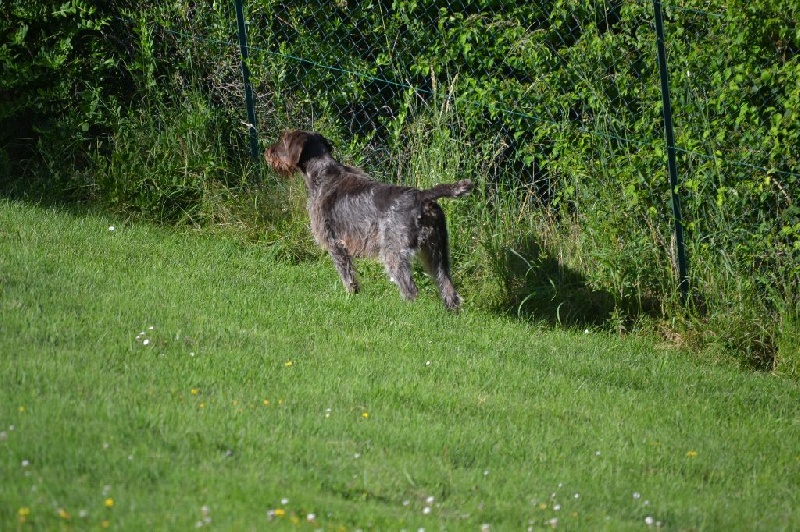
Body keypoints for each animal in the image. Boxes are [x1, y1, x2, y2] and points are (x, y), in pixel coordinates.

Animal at [264, 130, 473, 310]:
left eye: (283, 141)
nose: (267, 151)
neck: (322, 173)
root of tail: (422, 196)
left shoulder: (335, 244)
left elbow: (347, 277)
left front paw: (350, 297)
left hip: (393, 253)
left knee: (411, 290)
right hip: (437, 253)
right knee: (449, 289)